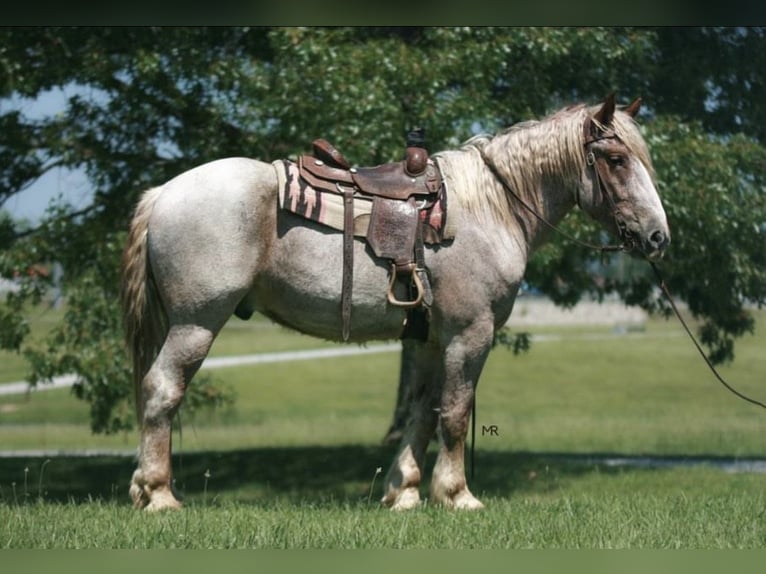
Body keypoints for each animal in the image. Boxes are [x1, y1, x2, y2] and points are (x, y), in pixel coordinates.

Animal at [121, 94, 672, 512]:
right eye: (617, 159)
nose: (657, 237)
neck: (488, 208)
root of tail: (164, 192)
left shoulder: (429, 339)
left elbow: (422, 413)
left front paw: (403, 492)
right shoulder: (470, 334)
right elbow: (455, 413)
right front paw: (457, 495)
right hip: (196, 323)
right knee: (162, 390)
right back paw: (160, 495)